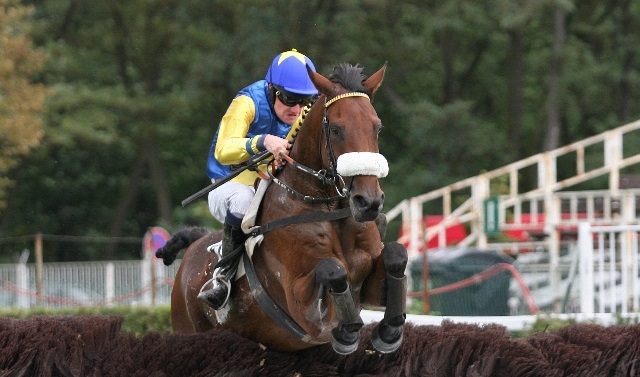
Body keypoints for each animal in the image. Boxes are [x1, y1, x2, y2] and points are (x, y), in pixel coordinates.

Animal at [159, 61, 410, 352]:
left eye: (377, 127)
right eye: (336, 129)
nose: (368, 202)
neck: (325, 206)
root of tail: (195, 245)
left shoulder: (367, 285)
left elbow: (396, 255)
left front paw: (390, 331)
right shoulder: (303, 308)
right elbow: (332, 270)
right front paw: (348, 332)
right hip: (186, 326)